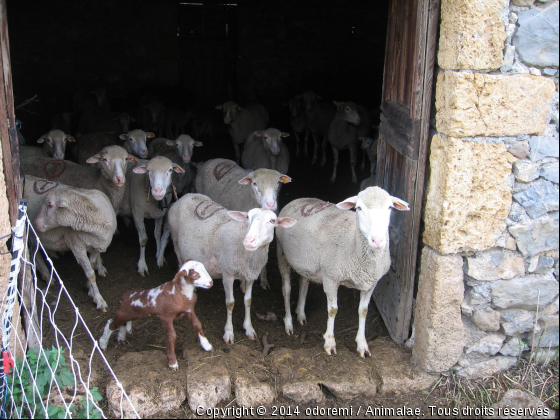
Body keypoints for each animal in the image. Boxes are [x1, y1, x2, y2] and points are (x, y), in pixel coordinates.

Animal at [25, 175, 117, 312]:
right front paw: (99, 300)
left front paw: (90, 288)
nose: (35, 223)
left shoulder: (96, 246)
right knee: (35, 254)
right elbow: (91, 274)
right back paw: (47, 275)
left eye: (50, 205)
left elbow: (92, 265)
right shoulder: (77, 246)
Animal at [167, 194, 296, 344]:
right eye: (247, 217)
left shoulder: (250, 275)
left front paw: (249, 328)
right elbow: (230, 303)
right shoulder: (227, 273)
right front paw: (229, 332)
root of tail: (185, 196)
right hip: (175, 241)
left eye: (272, 220)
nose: (249, 241)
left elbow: (248, 300)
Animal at [276, 187, 412, 358]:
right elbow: (333, 310)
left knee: (304, 283)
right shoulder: (331, 277)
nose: (377, 241)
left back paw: (300, 314)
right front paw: (330, 343)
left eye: (389, 207)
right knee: (286, 289)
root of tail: (298, 199)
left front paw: (362, 344)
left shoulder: (371, 283)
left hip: (307, 262)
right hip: (281, 252)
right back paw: (288, 323)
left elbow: (363, 311)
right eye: (359, 208)